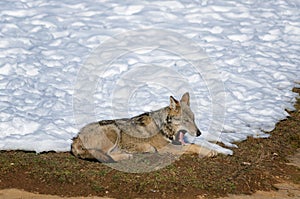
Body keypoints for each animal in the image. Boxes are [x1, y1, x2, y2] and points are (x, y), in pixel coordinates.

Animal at [71, 92, 217, 162]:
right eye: (186, 120)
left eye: (193, 119)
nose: (199, 133)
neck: (163, 126)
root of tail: (76, 137)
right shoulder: (166, 148)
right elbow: (192, 146)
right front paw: (209, 152)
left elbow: (193, 144)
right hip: (113, 130)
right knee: (103, 156)